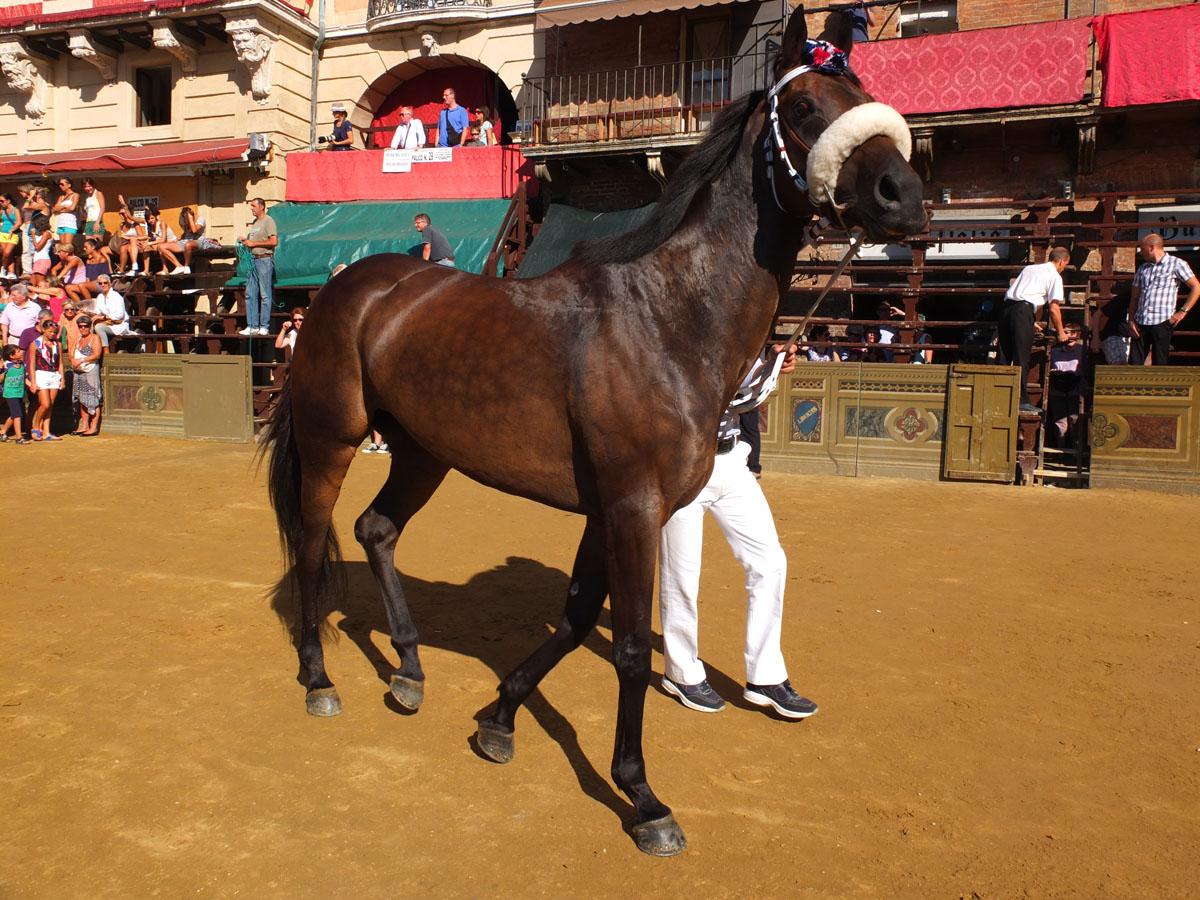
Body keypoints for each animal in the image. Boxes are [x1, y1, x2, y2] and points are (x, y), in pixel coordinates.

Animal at [265, 5, 926, 859]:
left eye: (867, 92)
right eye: (808, 106)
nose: (903, 194)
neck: (668, 317)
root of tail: (348, 284)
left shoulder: (615, 510)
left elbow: (580, 615)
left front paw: (499, 717)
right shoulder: (632, 507)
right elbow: (635, 647)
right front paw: (642, 797)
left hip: (423, 450)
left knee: (376, 530)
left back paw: (409, 669)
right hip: (333, 439)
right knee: (314, 542)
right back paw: (320, 678)